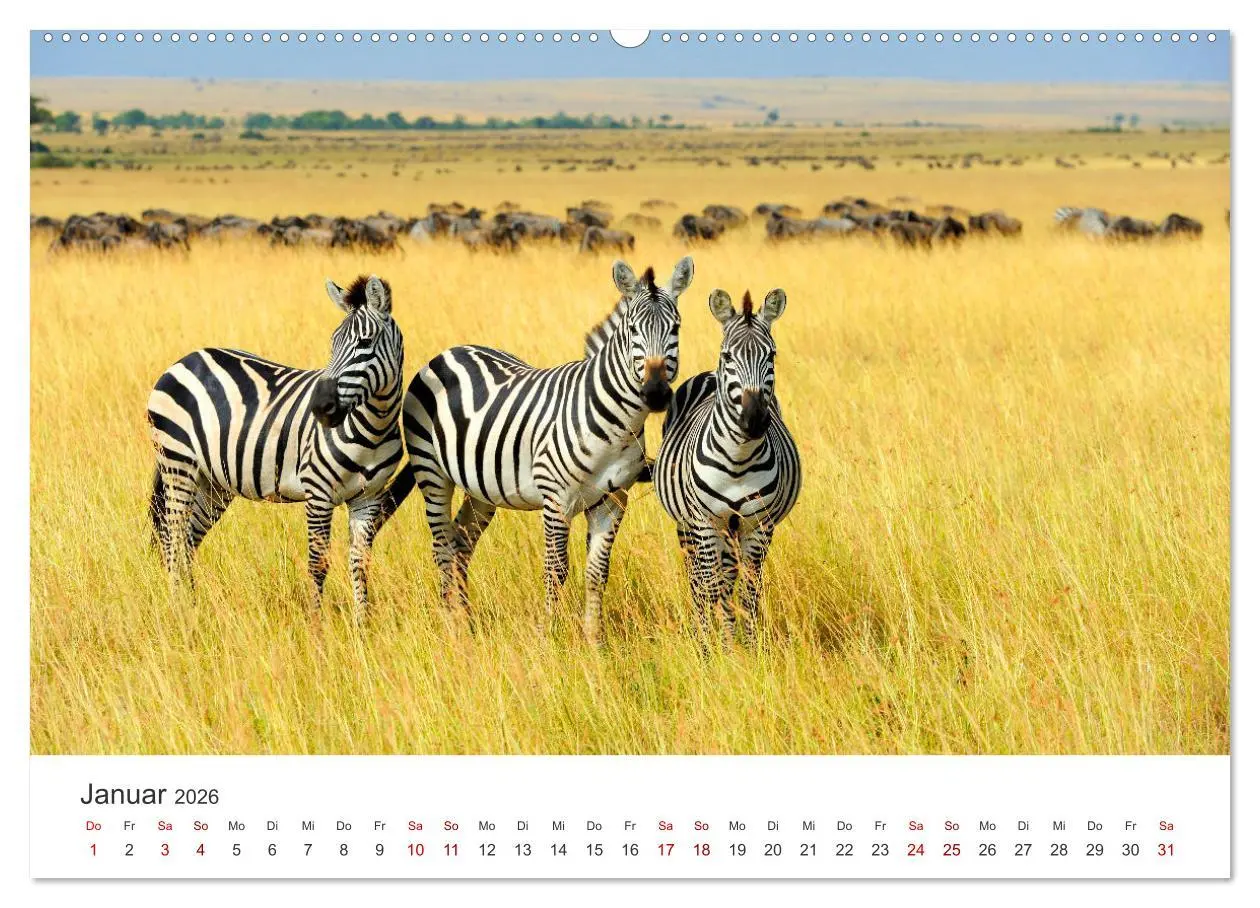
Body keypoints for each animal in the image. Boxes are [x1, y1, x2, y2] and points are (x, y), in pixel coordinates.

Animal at [146, 274, 405, 621]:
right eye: (333, 344)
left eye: (365, 343)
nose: (320, 407)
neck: (373, 427)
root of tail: (185, 359)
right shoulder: (318, 493)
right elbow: (318, 565)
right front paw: (316, 626)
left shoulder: (368, 498)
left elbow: (360, 565)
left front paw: (362, 627)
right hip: (178, 465)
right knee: (172, 538)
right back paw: (179, 612)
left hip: (212, 483)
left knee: (187, 541)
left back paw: (194, 609)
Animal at [392, 257, 693, 644]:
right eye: (632, 330)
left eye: (676, 328)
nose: (655, 392)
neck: (614, 423)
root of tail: (449, 351)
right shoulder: (556, 499)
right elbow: (556, 570)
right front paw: (548, 637)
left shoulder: (612, 501)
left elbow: (598, 573)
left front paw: (594, 642)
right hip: (432, 473)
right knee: (442, 546)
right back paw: (452, 627)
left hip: (481, 487)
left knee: (460, 542)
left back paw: (467, 621)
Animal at [653, 288, 801, 645]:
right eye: (728, 356)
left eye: (771, 355)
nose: (754, 420)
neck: (738, 458)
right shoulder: (705, 522)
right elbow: (711, 586)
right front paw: (716, 647)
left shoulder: (758, 525)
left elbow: (748, 590)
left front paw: (747, 646)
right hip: (689, 525)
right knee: (697, 577)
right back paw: (703, 633)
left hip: (733, 530)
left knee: (730, 576)